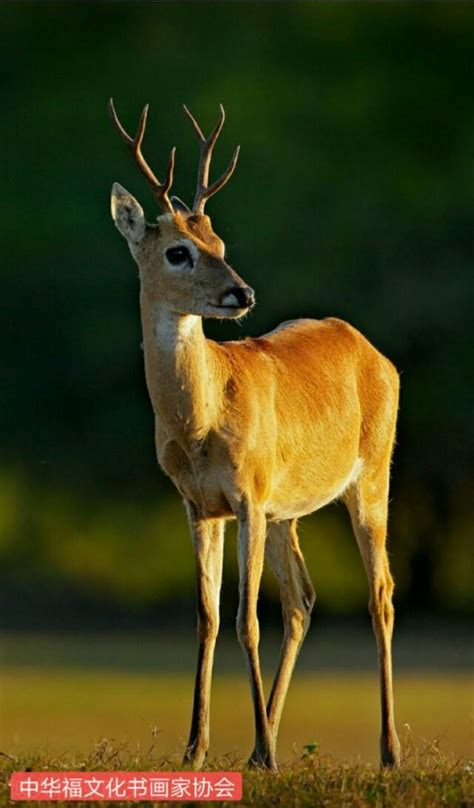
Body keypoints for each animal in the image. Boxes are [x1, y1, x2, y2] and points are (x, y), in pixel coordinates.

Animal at [107, 98, 400, 772]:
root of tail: (374, 352)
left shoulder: (248, 497)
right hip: (289, 511)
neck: (201, 420)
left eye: (219, 241)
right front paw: (195, 749)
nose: (241, 292)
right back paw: (260, 745)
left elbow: (246, 621)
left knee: (381, 595)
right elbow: (209, 618)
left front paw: (259, 748)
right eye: (178, 251)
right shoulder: (200, 506)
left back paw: (388, 750)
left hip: (371, 476)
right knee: (303, 600)